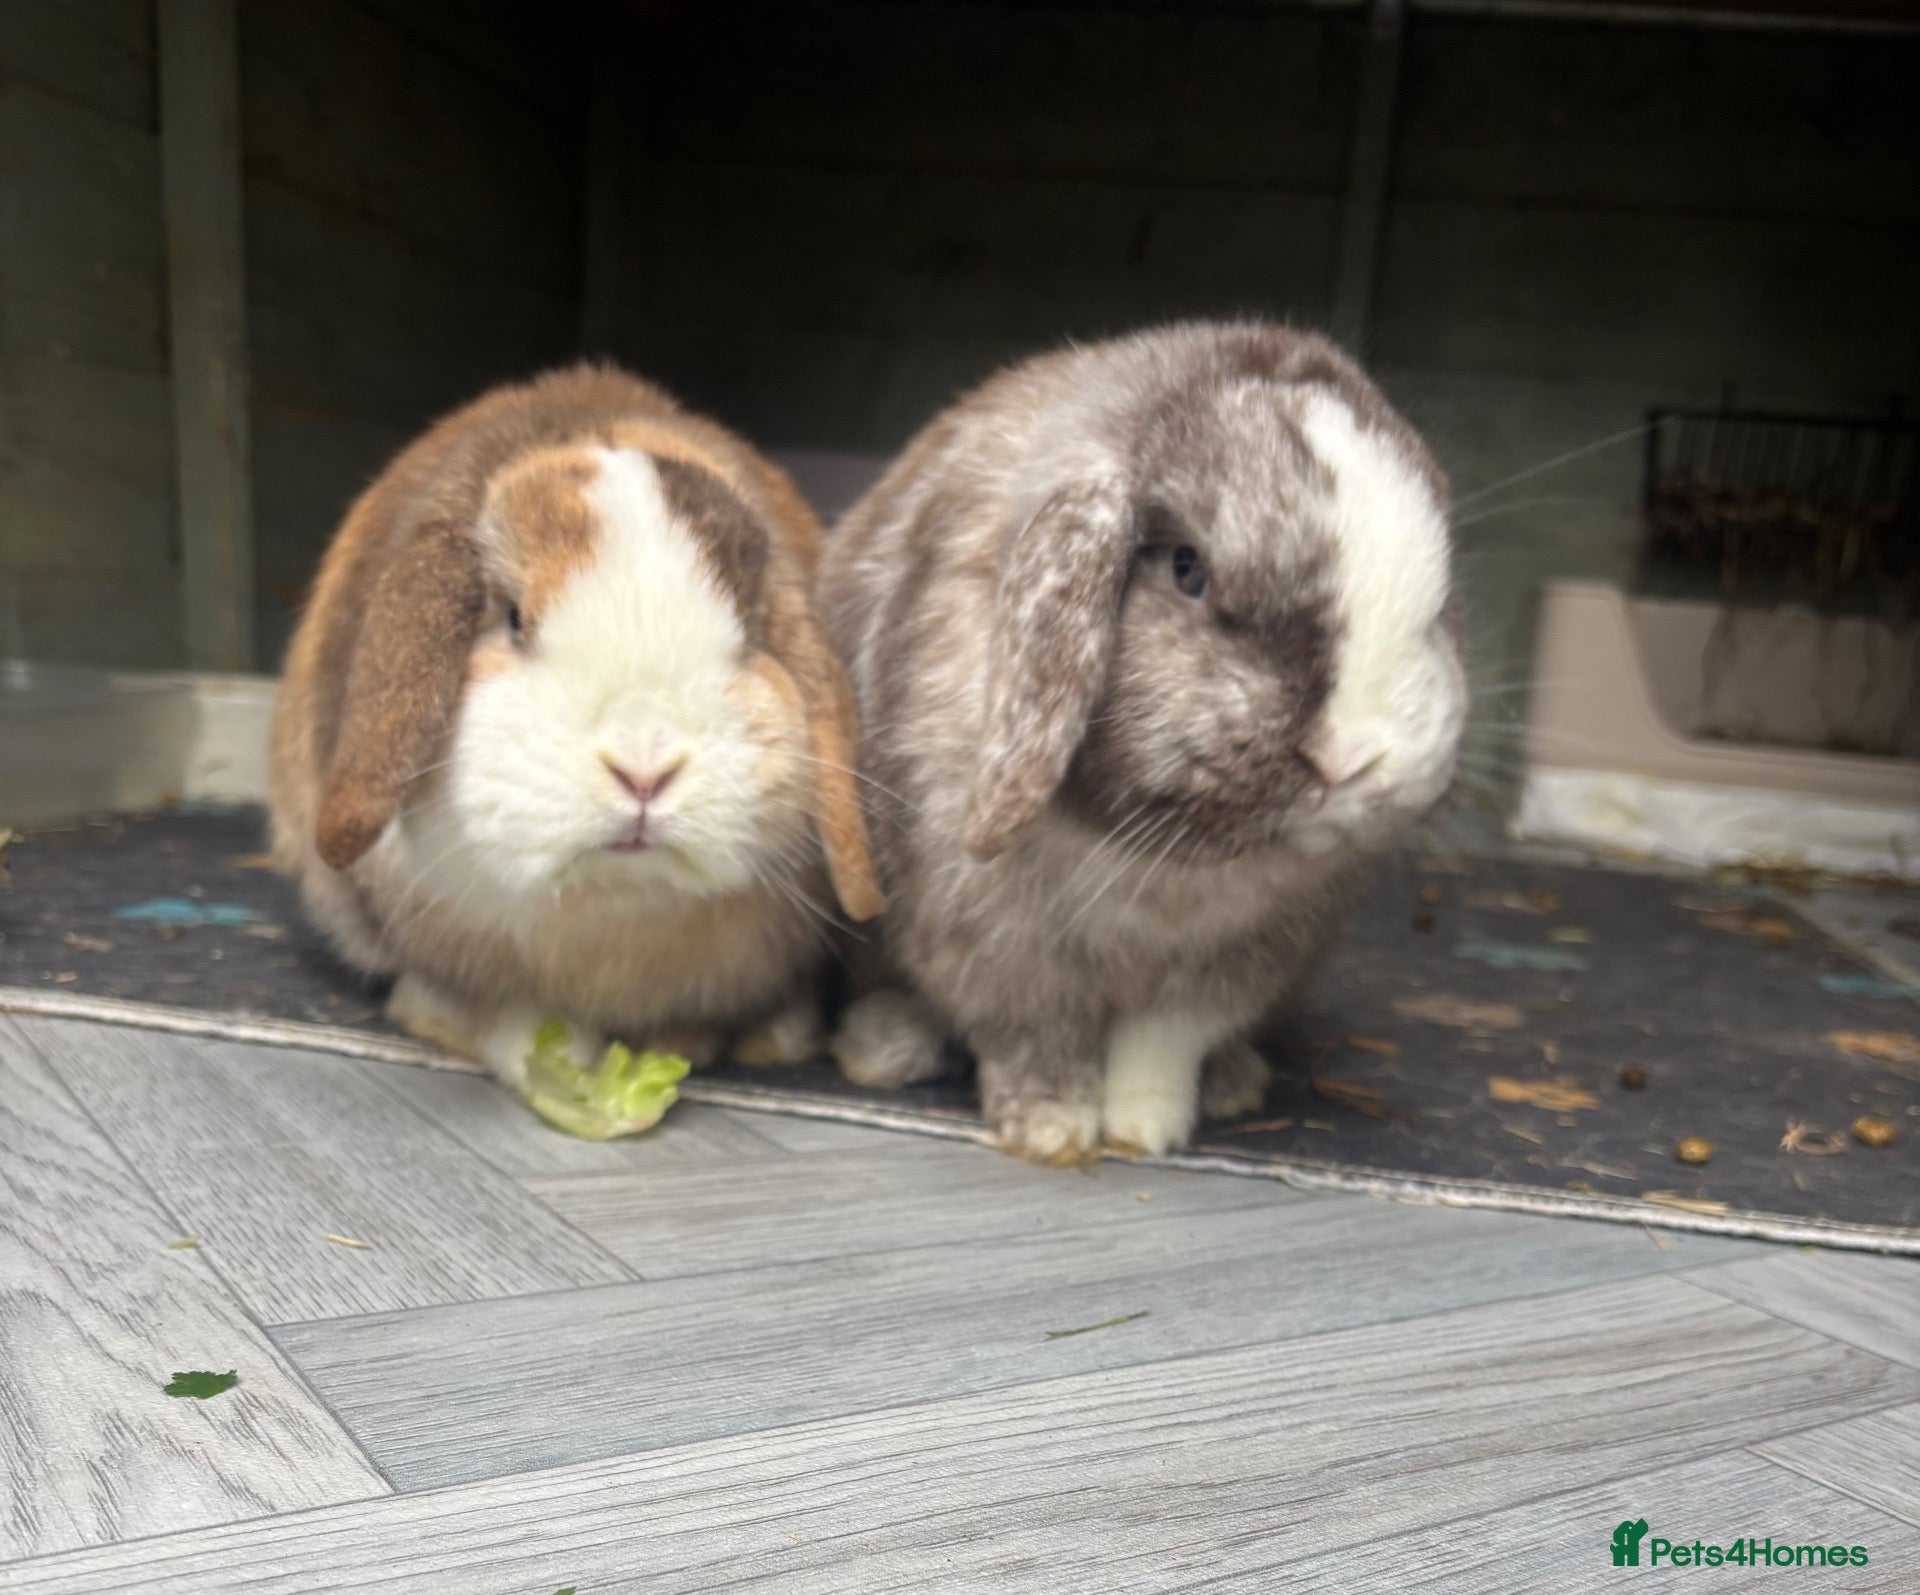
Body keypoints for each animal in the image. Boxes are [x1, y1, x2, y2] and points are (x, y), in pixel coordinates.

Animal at [817, 322, 1465, 1162]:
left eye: (1439, 604)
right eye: (1188, 570)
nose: (1349, 757)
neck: (1160, 865)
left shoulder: (1235, 965)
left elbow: (1164, 1043)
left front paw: (1144, 1129)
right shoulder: (995, 946)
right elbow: (1033, 1039)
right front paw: (1052, 1127)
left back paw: (1234, 1081)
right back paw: (883, 1045)